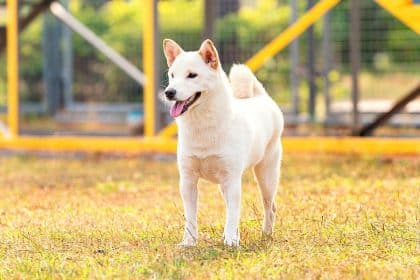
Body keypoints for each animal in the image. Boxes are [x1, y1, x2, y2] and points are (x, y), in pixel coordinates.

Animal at [162, 38, 284, 245]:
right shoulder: (187, 180)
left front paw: (230, 242)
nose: (169, 92)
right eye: (172, 75)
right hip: (224, 185)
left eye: (192, 75)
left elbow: (233, 213)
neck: (203, 127)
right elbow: (191, 216)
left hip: (266, 176)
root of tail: (262, 98)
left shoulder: (232, 178)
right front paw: (189, 242)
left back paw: (266, 234)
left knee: (270, 207)